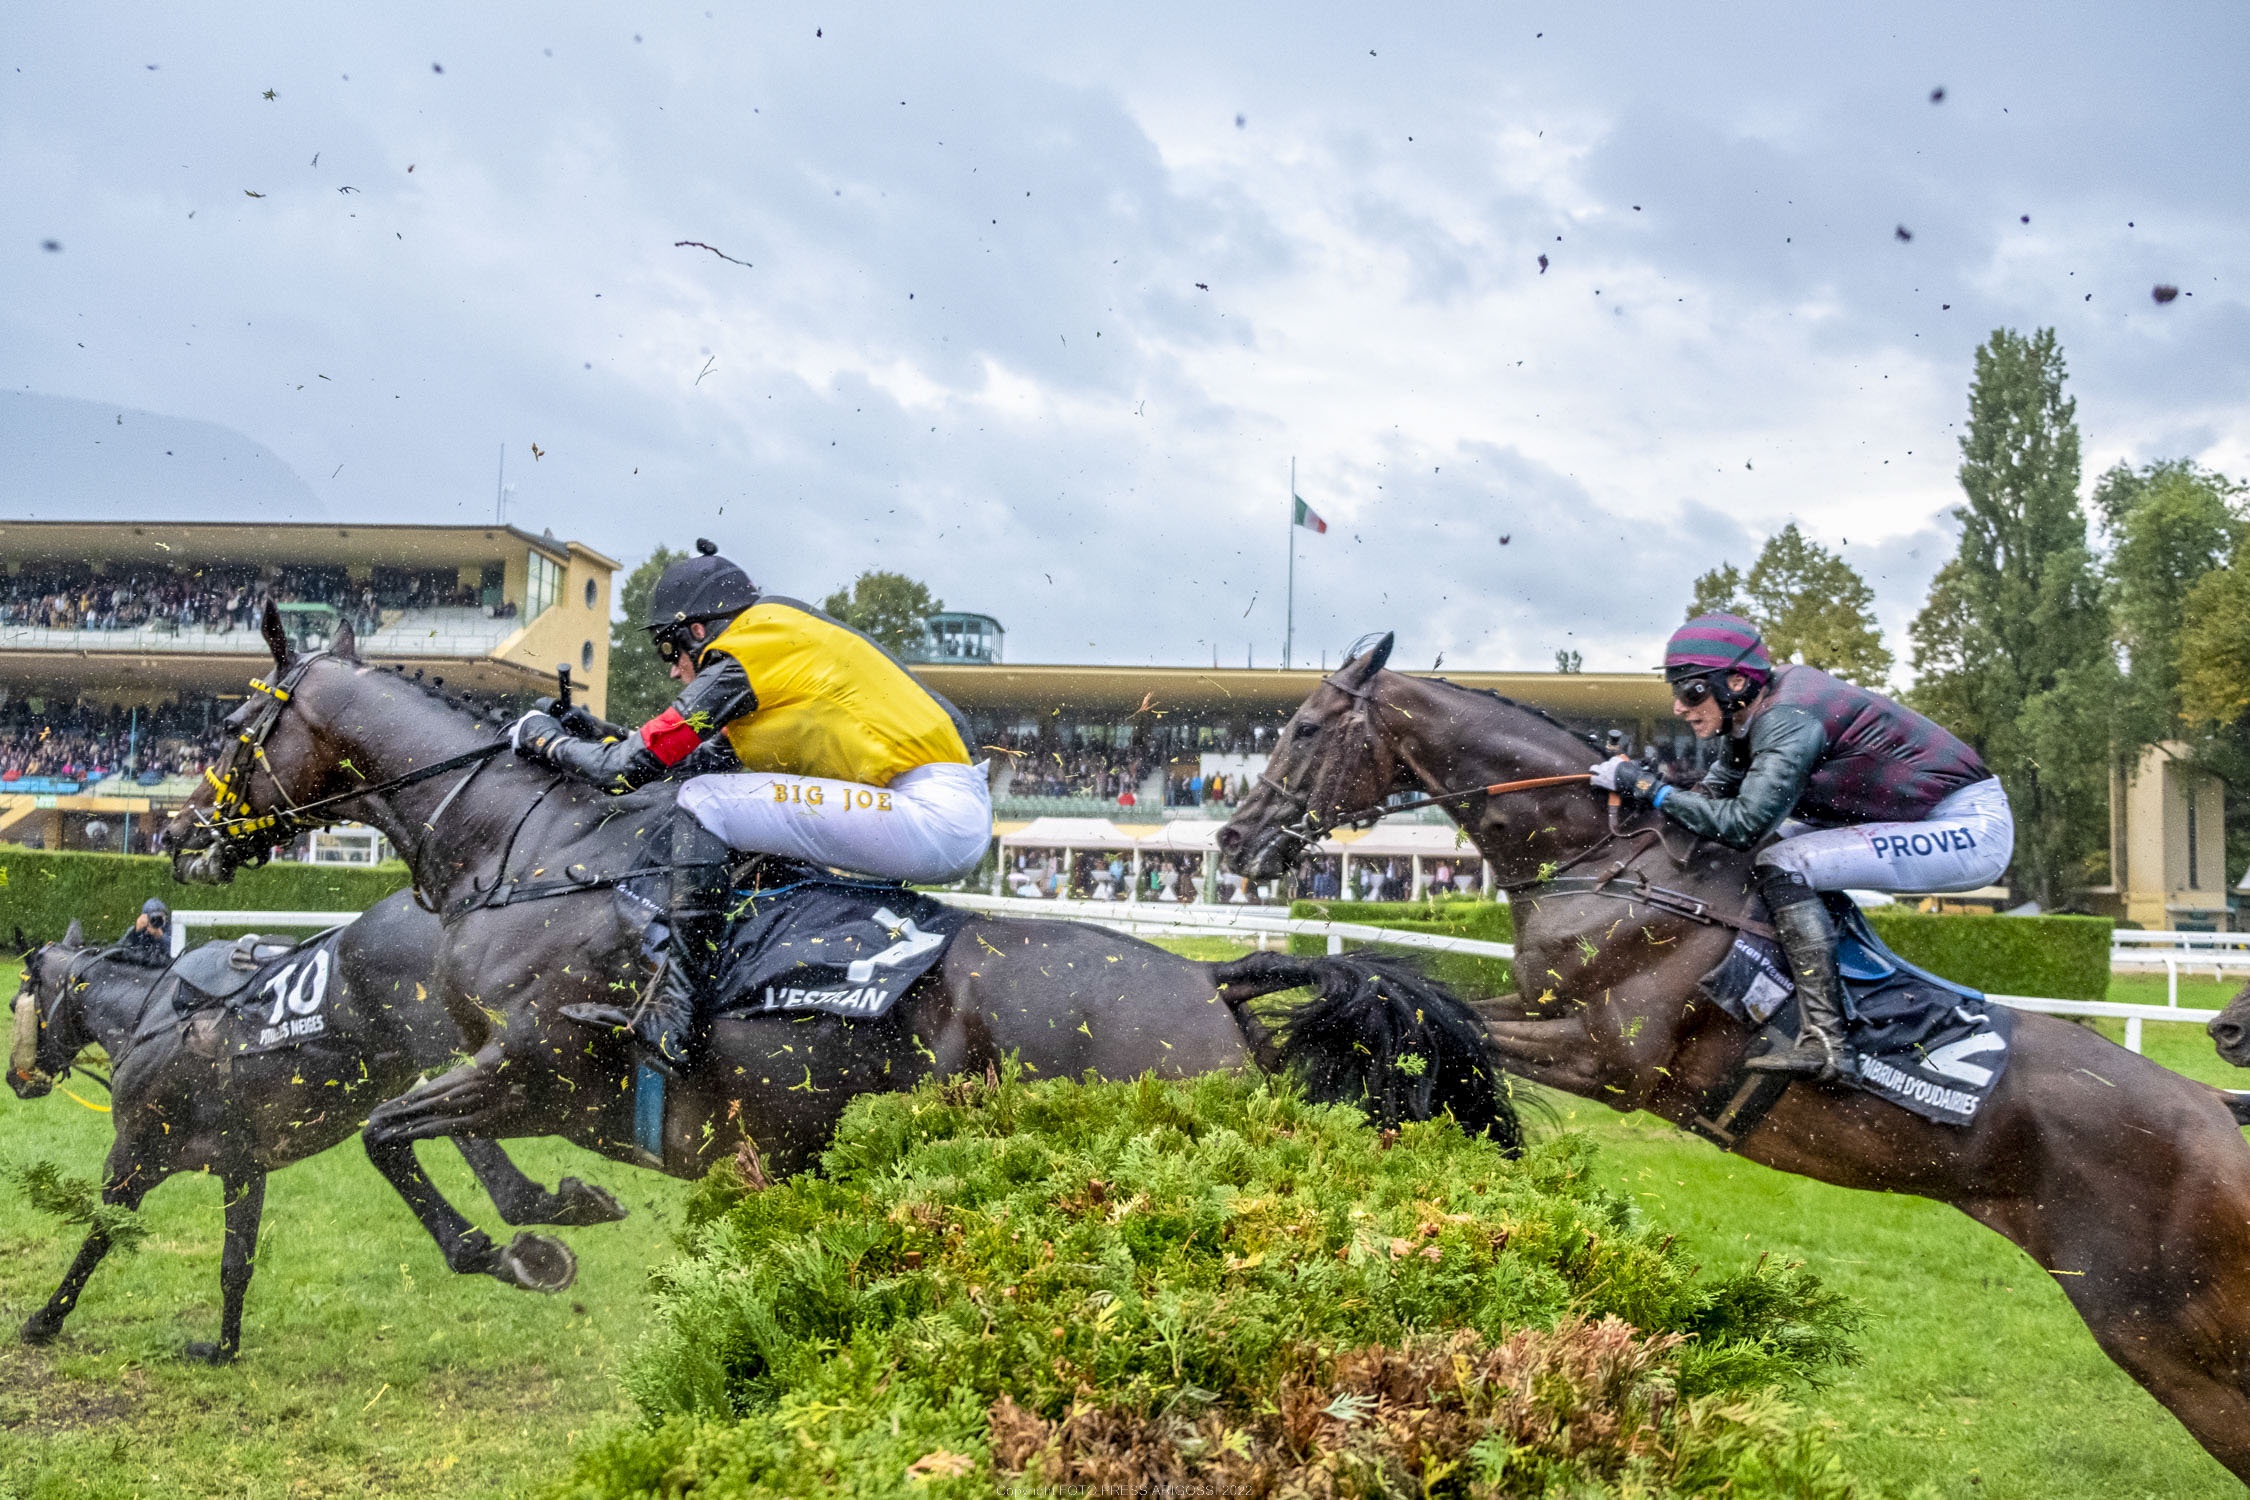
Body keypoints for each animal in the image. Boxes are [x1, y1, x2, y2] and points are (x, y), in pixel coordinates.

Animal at [8, 890, 630, 1376]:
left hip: (447, 1048)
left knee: (428, 1138)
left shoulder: (133, 1156)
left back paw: (516, 1223)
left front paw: (46, 1317)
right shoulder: (242, 1167)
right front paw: (224, 1349)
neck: (150, 1017)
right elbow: (236, 1265)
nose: (17, 1079)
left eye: (19, 997)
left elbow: (100, 1233)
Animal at [163, 602, 1512, 1277]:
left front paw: (505, 1248)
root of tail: (1213, 989)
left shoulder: (539, 1063)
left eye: (232, 727)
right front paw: (549, 1205)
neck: (536, 851)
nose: (181, 835)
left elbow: (394, 1133)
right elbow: (434, 1129)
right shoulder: (503, 1067)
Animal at [1224, 629, 2250, 1475]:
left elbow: (1420, 1010)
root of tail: (2215, 1112)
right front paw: (1263, 1006)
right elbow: (1423, 1006)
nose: (1235, 838)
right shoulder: (1543, 1005)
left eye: (1305, 727)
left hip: (2172, 1337)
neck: (1615, 861)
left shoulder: (1606, 1058)